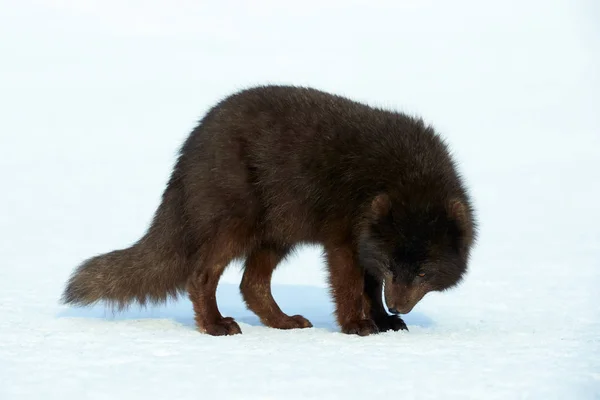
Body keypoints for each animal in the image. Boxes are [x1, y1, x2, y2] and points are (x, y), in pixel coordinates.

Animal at [61, 86, 476, 336]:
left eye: (423, 271)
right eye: (394, 266)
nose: (400, 307)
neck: (403, 175)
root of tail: (189, 148)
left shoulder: (366, 244)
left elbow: (369, 287)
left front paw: (383, 319)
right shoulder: (344, 240)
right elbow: (350, 286)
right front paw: (357, 325)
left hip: (276, 234)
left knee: (251, 285)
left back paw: (283, 322)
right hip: (235, 224)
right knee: (200, 276)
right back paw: (215, 325)